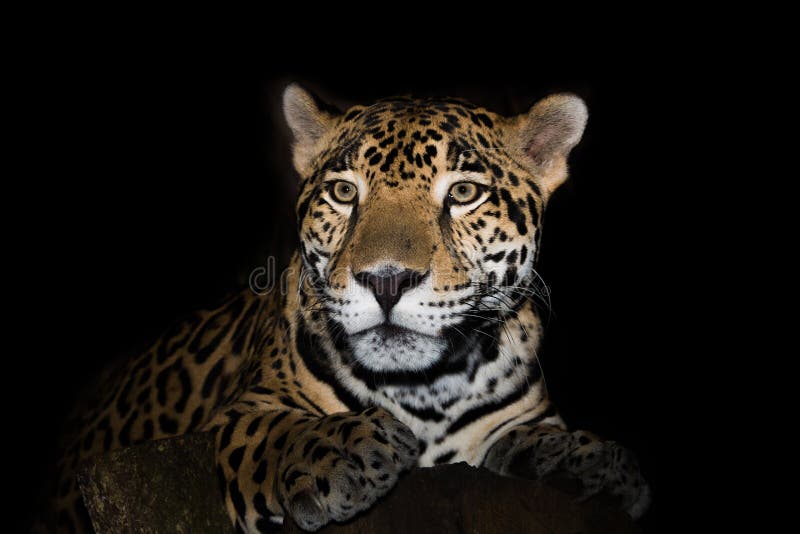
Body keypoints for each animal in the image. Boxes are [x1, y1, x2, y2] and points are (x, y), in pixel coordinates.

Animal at [44, 84, 650, 533]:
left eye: (462, 194)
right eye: (342, 192)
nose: (386, 280)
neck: (423, 392)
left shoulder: (520, 416)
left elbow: (531, 435)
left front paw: (591, 460)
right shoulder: (239, 414)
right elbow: (278, 431)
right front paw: (346, 451)